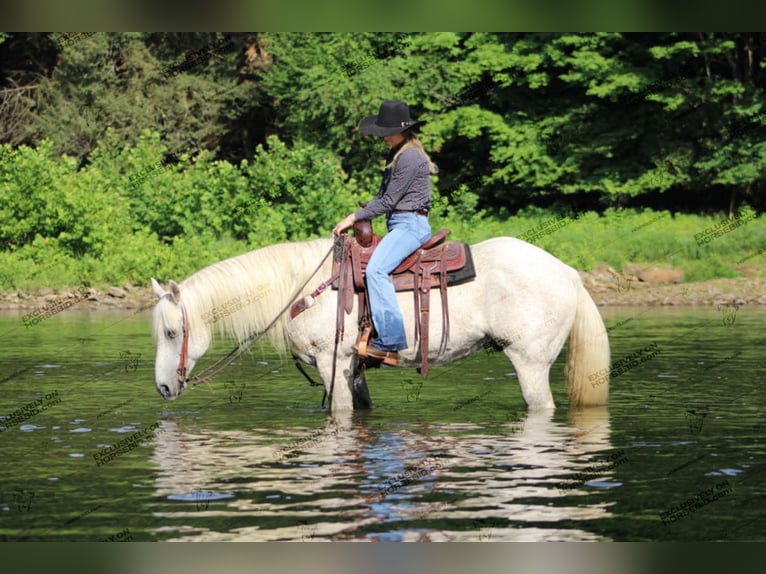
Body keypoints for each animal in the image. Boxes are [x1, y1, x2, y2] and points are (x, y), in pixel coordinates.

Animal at [153, 236, 616, 412]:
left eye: (173, 332)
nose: (162, 388)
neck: (302, 288)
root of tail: (568, 273)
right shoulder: (352, 367)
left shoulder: (332, 363)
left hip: (530, 362)